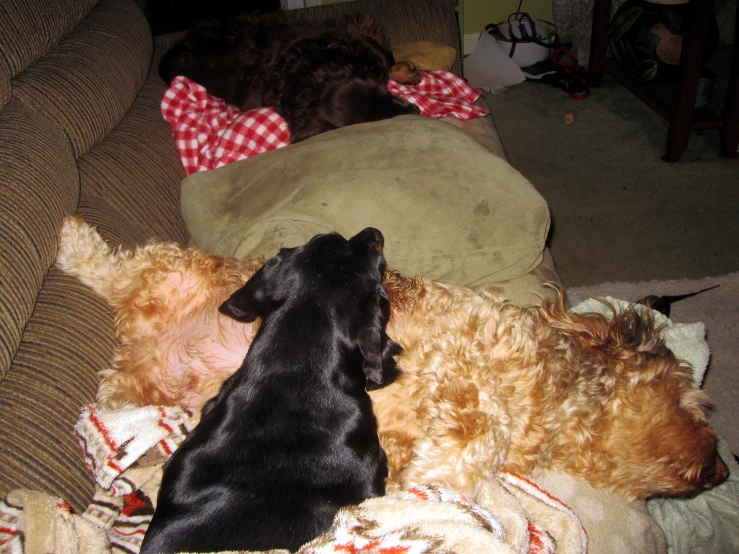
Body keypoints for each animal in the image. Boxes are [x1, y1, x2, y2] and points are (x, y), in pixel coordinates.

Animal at [56, 213, 728, 498]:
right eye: (698, 402)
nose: (723, 470)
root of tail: (145, 337)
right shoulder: (459, 361)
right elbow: (479, 427)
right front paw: (436, 464)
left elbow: (464, 450)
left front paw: (425, 471)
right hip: (172, 267)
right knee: (105, 264)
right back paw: (72, 237)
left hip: (140, 379)